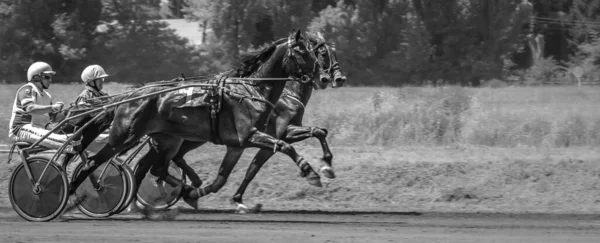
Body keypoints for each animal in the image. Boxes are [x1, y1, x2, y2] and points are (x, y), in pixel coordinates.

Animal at [67, 29, 322, 207]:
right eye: (302, 52)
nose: (320, 76)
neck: (251, 90)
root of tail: (129, 96)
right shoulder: (249, 135)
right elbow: (285, 146)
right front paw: (311, 173)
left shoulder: (236, 145)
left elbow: (223, 177)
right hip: (124, 136)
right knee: (92, 163)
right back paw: (73, 194)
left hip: (167, 140)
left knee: (152, 168)